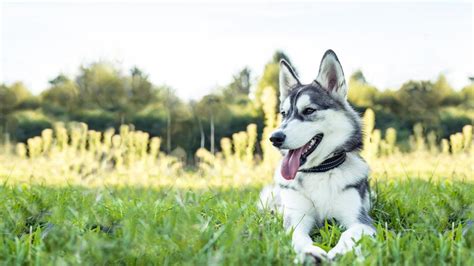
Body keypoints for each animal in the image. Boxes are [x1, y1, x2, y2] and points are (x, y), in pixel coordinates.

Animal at [260, 50, 374, 262]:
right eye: (284, 113)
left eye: (309, 110)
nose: (274, 138)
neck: (320, 171)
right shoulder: (296, 220)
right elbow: (298, 236)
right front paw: (309, 252)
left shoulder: (362, 222)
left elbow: (349, 234)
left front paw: (339, 253)